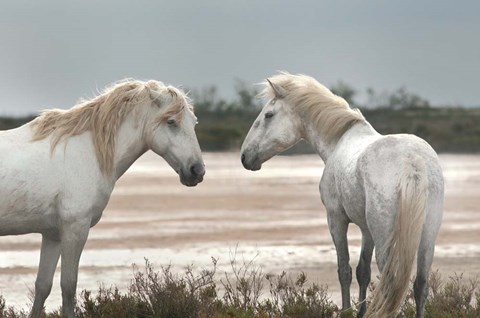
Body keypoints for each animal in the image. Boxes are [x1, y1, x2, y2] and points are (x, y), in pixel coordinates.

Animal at [0, 78, 204, 316]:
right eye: (171, 122)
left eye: (194, 122)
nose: (197, 171)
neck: (86, 151)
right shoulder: (75, 229)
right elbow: (68, 286)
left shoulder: (53, 234)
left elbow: (43, 286)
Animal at [242, 73, 444, 316]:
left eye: (268, 115)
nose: (245, 157)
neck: (339, 141)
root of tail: (412, 162)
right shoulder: (366, 230)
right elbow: (363, 271)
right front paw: (360, 311)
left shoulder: (336, 219)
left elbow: (344, 270)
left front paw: (347, 311)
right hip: (427, 236)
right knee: (420, 285)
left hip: (386, 238)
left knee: (391, 285)